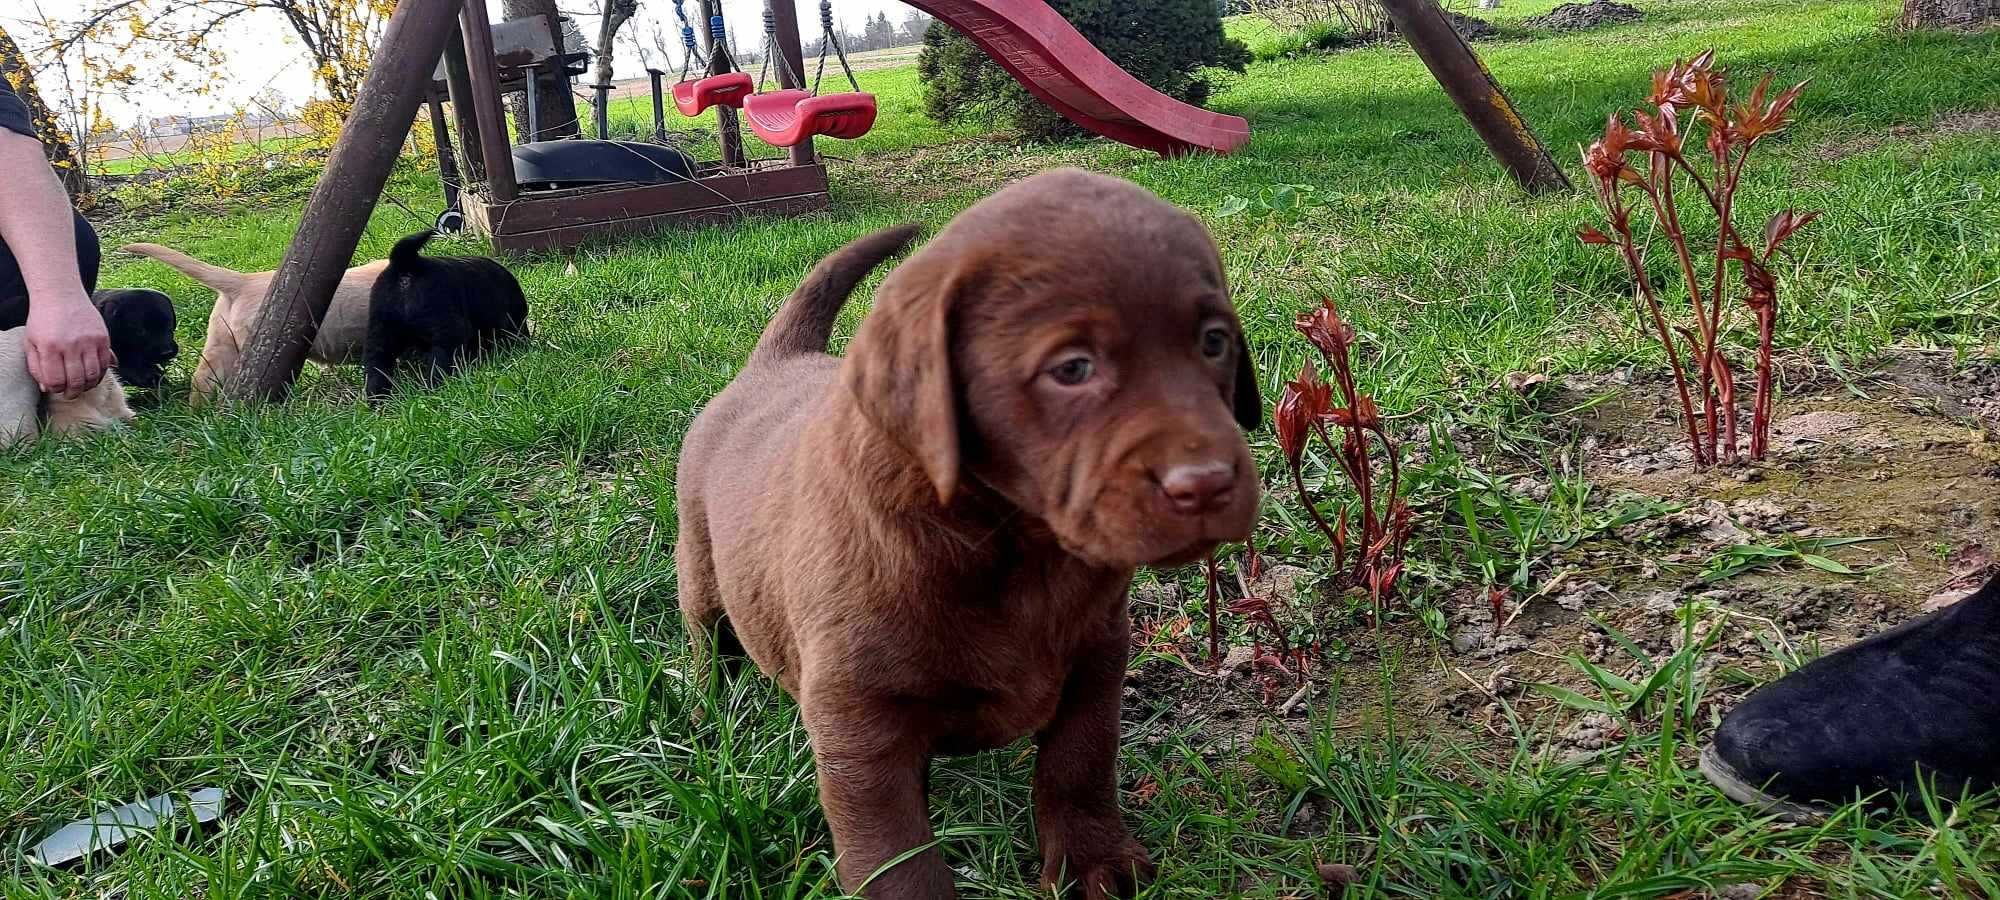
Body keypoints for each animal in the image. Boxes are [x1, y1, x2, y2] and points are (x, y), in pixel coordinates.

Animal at [364, 232, 528, 400]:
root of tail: (408, 265)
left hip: (380, 331)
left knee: (377, 364)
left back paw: (377, 399)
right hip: (447, 332)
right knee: (439, 362)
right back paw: (436, 387)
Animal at [680, 167, 1256, 892]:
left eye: (1214, 341)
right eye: (1072, 368)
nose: (1207, 482)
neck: (1018, 544)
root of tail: (774, 361)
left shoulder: (1098, 653)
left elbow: (1080, 762)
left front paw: (1093, 860)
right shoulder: (856, 715)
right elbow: (893, 850)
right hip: (699, 562)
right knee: (706, 631)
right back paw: (709, 703)